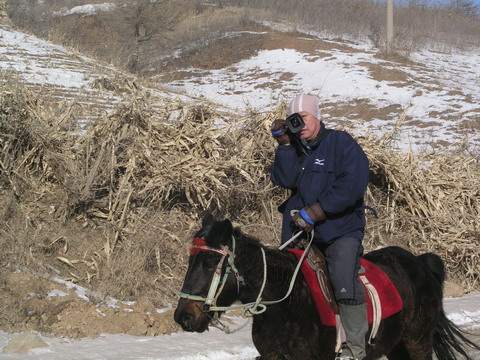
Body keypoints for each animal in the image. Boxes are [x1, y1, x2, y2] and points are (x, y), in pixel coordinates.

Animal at [174, 215, 478, 358]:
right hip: (396, 346)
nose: (183, 317)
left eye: (210, 262)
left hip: (417, 342)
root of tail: (419, 262)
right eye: (190, 260)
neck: (287, 303)